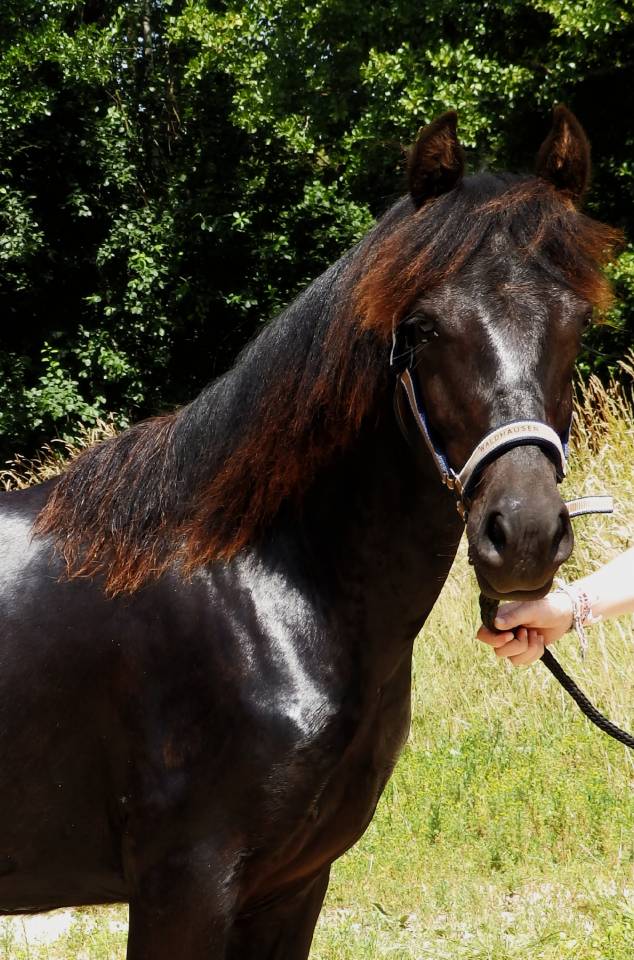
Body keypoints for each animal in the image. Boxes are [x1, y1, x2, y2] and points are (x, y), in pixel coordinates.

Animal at [0, 106, 620, 958]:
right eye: (422, 329)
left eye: (577, 322)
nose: (523, 533)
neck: (258, 590)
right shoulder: (183, 890)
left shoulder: (292, 886)